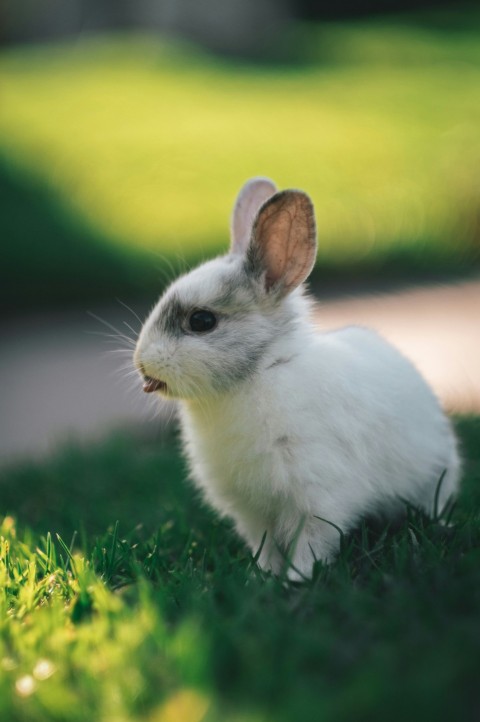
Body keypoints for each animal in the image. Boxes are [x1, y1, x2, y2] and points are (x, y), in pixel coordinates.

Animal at [133, 176, 460, 580]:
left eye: (201, 321)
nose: (142, 365)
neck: (260, 373)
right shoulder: (254, 512)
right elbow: (266, 544)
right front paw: (264, 576)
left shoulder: (317, 498)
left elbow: (311, 544)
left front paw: (297, 579)